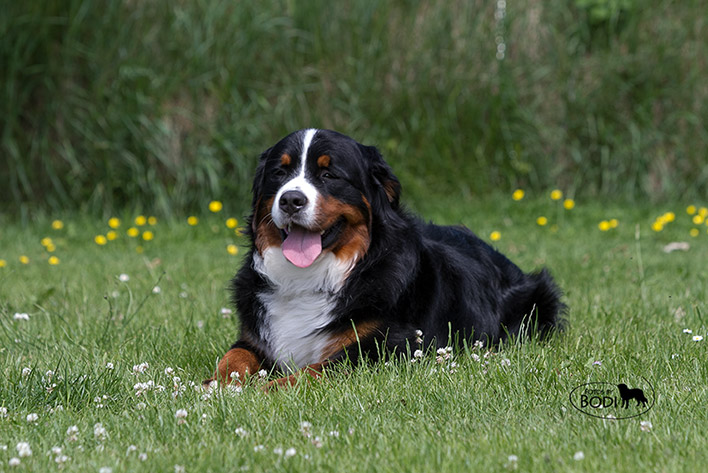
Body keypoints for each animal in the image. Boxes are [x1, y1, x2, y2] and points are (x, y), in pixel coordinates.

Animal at [205, 129, 565, 389]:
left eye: (329, 175)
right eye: (279, 173)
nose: (291, 199)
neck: (313, 279)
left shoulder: (384, 348)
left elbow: (310, 371)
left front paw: (261, 391)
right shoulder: (256, 338)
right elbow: (233, 357)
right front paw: (216, 386)